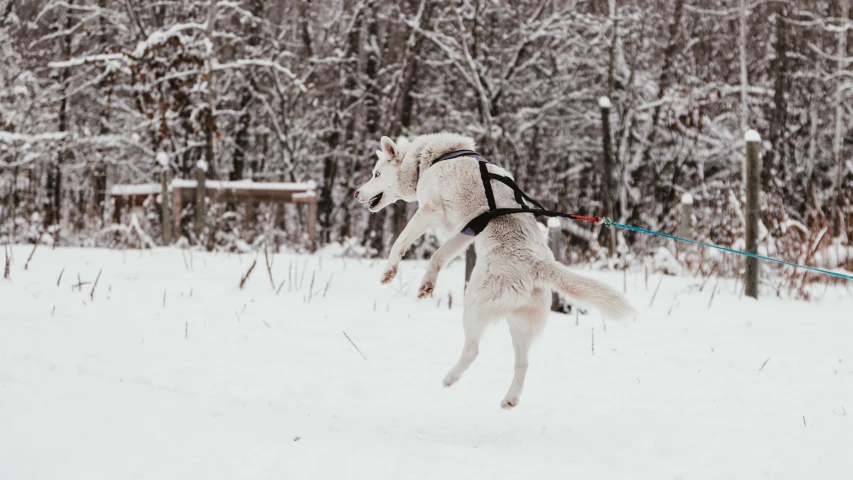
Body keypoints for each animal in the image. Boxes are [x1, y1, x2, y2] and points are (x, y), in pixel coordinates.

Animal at [352, 132, 632, 408]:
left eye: (376, 174)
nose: (355, 193)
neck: (431, 160)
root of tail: (538, 266)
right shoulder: (466, 232)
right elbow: (437, 257)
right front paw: (426, 286)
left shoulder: (429, 211)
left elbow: (399, 243)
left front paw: (388, 272)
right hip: (519, 325)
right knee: (522, 362)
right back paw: (510, 399)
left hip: (473, 305)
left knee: (473, 350)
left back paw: (450, 377)